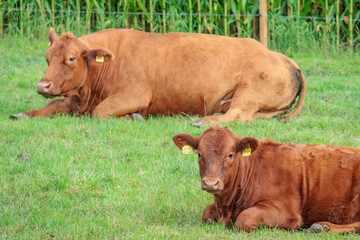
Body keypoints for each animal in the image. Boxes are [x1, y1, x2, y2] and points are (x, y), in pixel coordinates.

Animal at [10, 27, 306, 124]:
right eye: (47, 57)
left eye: (71, 59)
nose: (43, 85)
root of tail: (282, 57)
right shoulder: (75, 98)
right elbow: (54, 104)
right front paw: (23, 113)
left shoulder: (134, 95)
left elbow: (100, 112)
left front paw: (133, 117)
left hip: (248, 91)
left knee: (237, 114)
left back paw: (202, 121)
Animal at [172, 126, 360, 233]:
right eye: (199, 154)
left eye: (230, 155)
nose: (211, 182)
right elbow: (206, 213)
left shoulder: (288, 212)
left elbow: (245, 218)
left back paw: (323, 227)